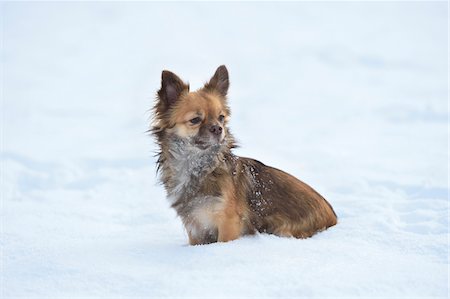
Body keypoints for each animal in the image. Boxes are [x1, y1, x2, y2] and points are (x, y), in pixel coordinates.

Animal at [153, 65, 336, 246]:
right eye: (195, 120)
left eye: (221, 117)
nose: (218, 128)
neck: (199, 167)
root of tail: (333, 218)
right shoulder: (195, 228)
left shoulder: (228, 223)